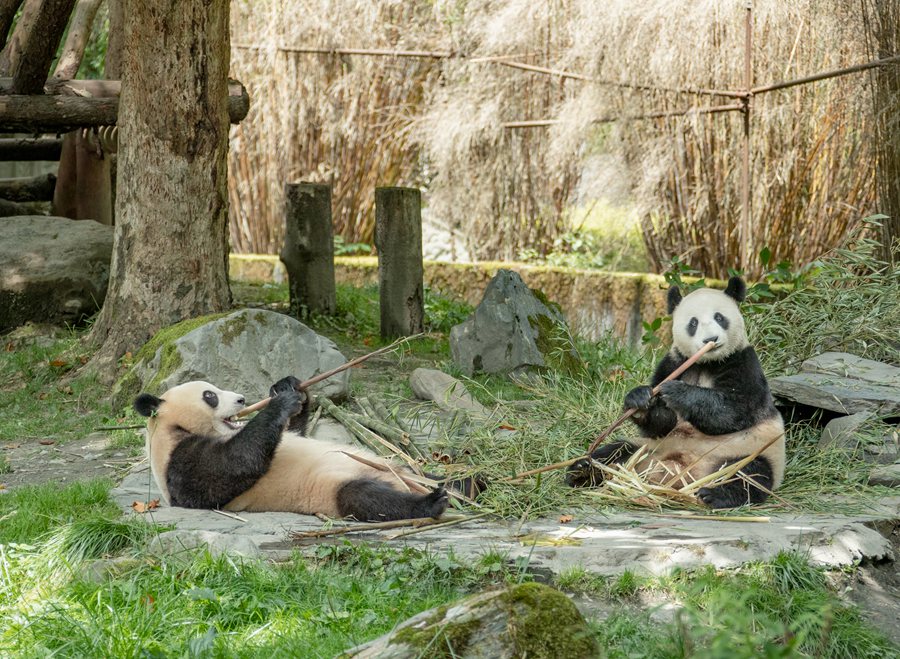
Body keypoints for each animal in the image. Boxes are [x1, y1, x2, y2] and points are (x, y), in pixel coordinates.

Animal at [134, 378, 450, 524]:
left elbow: (294, 432)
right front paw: (281, 402)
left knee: (446, 479)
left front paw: (288, 387)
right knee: (368, 498)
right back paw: (431, 503)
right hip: (333, 488)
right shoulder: (179, 461)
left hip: (407, 470)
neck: (171, 430)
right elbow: (232, 466)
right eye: (209, 395)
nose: (241, 399)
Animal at [568, 276, 784, 508]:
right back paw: (582, 471)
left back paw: (715, 494)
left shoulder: (743, 361)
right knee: (616, 451)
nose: (710, 340)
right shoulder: (674, 362)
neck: (706, 362)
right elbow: (662, 424)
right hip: (648, 449)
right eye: (693, 323)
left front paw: (677, 392)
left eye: (719, 317)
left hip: (749, 451)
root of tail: (677, 476)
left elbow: (734, 410)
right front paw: (640, 399)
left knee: (749, 474)